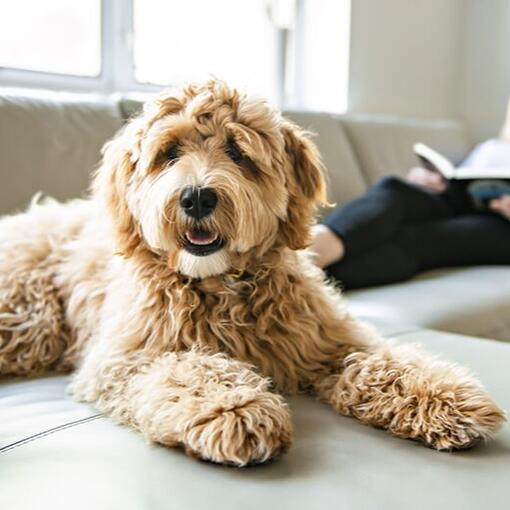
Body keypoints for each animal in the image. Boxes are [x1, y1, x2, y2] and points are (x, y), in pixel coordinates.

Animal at [0, 80, 504, 466]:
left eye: (237, 152)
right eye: (169, 152)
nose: (197, 197)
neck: (220, 285)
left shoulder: (328, 340)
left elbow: (383, 361)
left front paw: (445, 397)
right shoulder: (126, 358)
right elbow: (187, 368)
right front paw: (233, 408)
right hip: (30, 319)